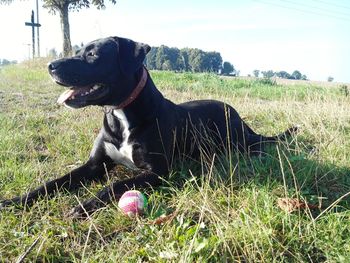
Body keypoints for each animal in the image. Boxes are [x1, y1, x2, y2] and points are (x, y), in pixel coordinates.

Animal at [0, 36, 296, 219]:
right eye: (79, 51)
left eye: (93, 55)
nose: (50, 66)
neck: (121, 114)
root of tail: (237, 115)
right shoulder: (95, 165)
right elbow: (52, 184)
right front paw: (15, 201)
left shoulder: (157, 172)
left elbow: (114, 186)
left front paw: (85, 206)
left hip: (235, 141)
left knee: (256, 146)